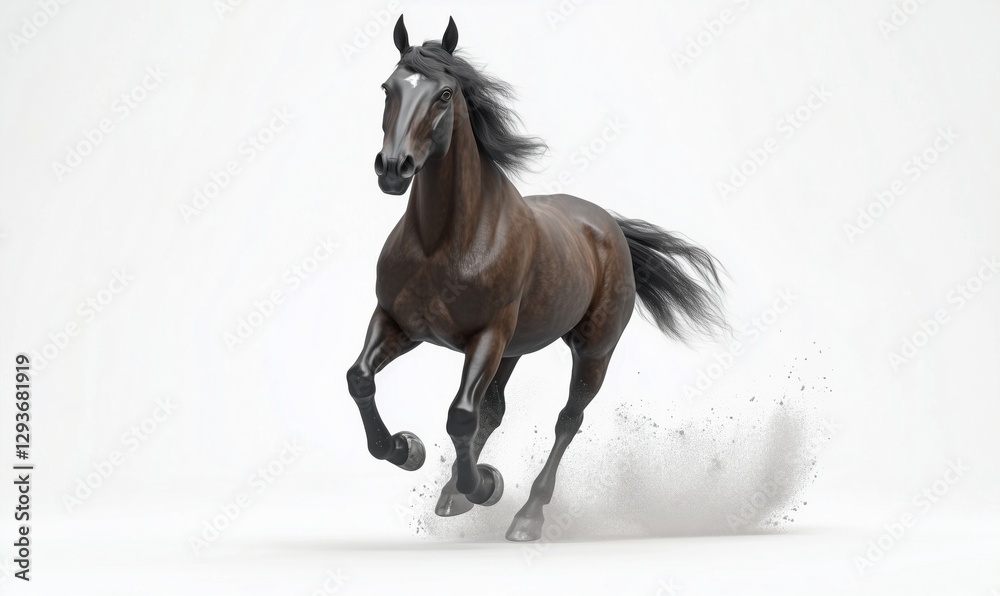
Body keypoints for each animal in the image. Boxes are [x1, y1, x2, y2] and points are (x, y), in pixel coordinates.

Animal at [346, 15, 727, 542]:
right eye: (388, 88)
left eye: (444, 94)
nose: (392, 169)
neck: (441, 242)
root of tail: (606, 225)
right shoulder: (397, 322)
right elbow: (360, 380)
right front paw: (407, 449)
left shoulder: (487, 335)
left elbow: (460, 417)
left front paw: (486, 486)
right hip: (513, 349)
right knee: (496, 409)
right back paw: (452, 493)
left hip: (591, 351)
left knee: (567, 419)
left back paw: (526, 514)